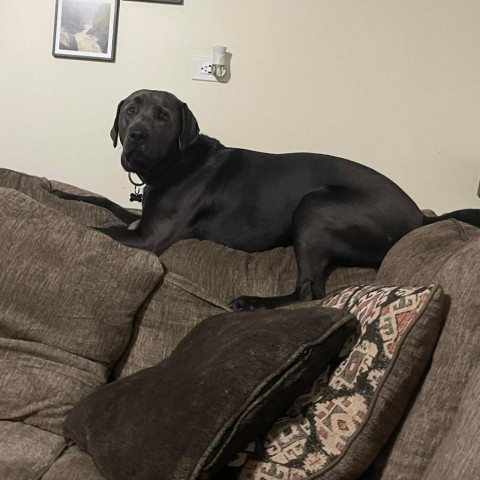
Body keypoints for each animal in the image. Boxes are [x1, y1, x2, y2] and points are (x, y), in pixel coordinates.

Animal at [54, 88, 480, 310]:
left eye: (163, 115)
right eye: (130, 110)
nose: (137, 136)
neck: (174, 161)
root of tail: (420, 218)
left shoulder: (148, 238)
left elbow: (96, 227)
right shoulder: (141, 219)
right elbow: (106, 205)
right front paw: (58, 191)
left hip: (316, 206)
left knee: (308, 291)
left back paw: (254, 302)